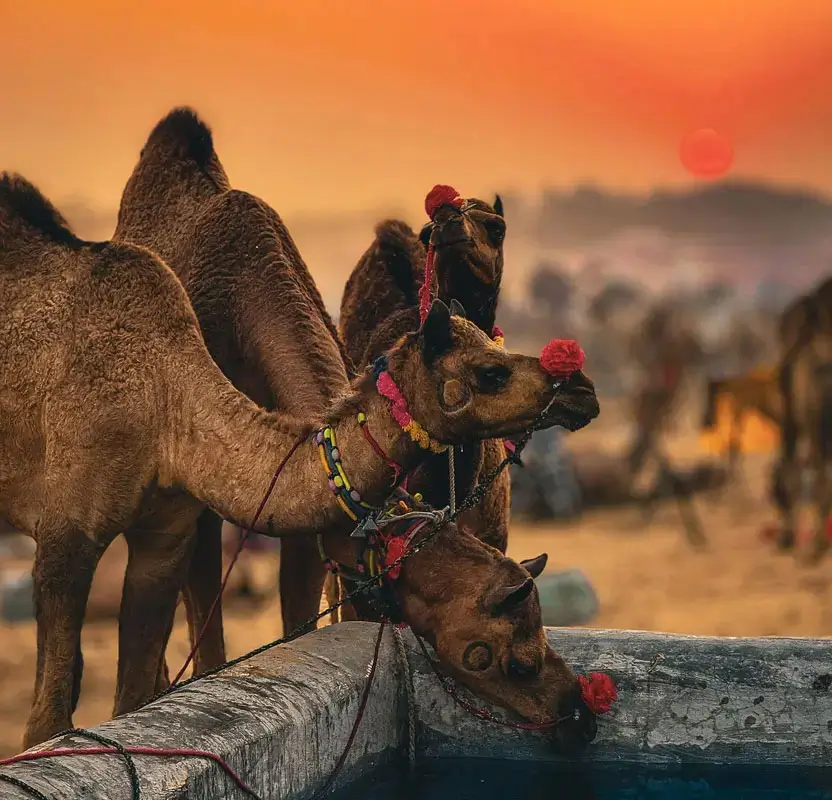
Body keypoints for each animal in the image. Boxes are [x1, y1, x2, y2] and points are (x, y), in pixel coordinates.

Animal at [0, 172, 601, 749]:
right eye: (491, 373)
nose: (581, 386)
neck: (166, 401)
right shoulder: (67, 535)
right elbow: (47, 724)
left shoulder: (167, 537)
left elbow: (133, 698)